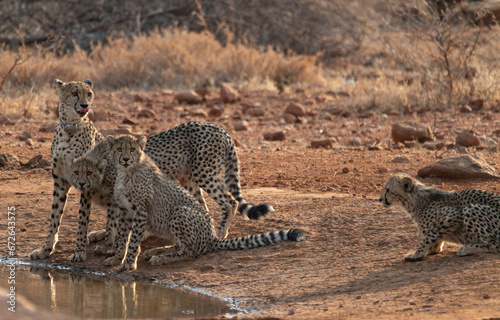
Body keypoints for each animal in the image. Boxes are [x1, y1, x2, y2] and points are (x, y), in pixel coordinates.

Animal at [30, 79, 104, 262]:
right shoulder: (60, 181)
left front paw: (79, 251)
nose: (85, 105)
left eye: (89, 94)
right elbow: (54, 216)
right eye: (74, 93)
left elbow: (82, 219)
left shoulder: (87, 183)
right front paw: (45, 249)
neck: (70, 128)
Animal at [104, 134, 304, 272]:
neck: (127, 172)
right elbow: (123, 236)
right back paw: (157, 251)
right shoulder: (125, 210)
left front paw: (129, 263)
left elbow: (133, 239)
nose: (126, 159)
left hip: (181, 210)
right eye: (119, 149)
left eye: (132, 149)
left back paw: (161, 258)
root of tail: (211, 238)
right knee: (183, 245)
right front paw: (117, 258)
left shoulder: (141, 210)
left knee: (191, 251)